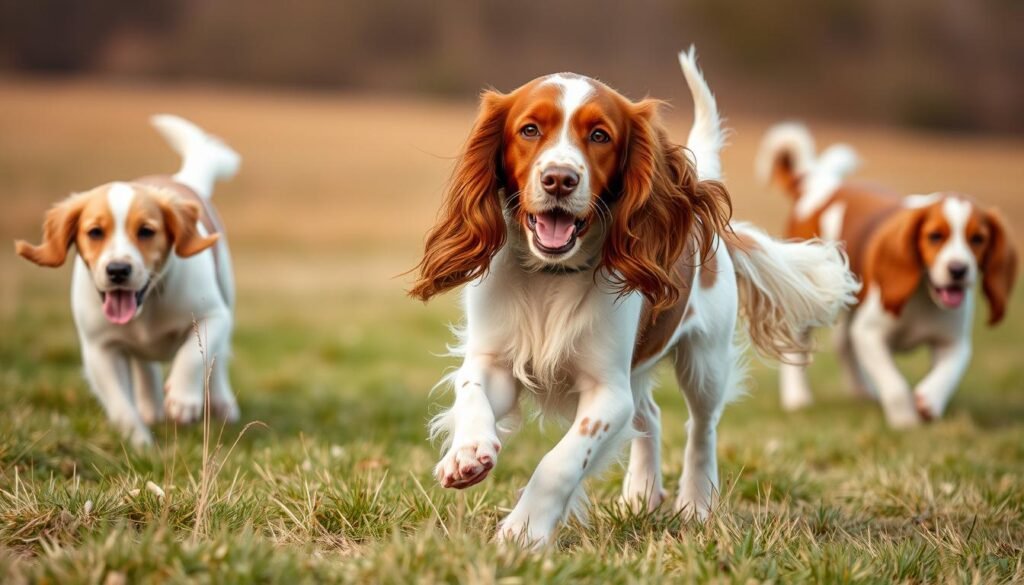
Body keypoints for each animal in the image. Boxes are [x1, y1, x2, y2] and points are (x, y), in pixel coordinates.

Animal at [15, 114, 241, 446]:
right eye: (95, 232)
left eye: (146, 231)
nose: (118, 270)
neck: (148, 305)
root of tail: (181, 180)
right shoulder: (100, 349)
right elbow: (121, 405)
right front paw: (140, 445)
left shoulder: (213, 315)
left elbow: (192, 356)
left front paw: (183, 402)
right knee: (144, 364)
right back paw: (150, 405)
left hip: (225, 290)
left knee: (220, 357)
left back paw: (223, 403)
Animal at [411, 48, 860, 549]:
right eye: (529, 130)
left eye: (600, 135)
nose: (559, 179)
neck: (550, 278)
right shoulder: (496, 360)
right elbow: (471, 391)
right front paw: (467, 452)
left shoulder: (609, 391)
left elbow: (561, 461)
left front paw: (524, 532)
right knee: (652, 415)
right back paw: (641, 496)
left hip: (704, 362)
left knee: (700, 427)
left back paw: (697, 504)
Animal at [761, 121, 1015, 428]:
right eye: (935, 236)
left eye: (978, 239)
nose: (958, 270)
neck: (923, 297)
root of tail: (820, 185)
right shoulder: (869, 335)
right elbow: (894, 385)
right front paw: (905, 421)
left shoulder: (953, 342)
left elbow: (948, 373)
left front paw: (929, 401)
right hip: (810, 300)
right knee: (795, 347)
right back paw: (797, 399)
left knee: (843, 345)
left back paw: (861, 391)